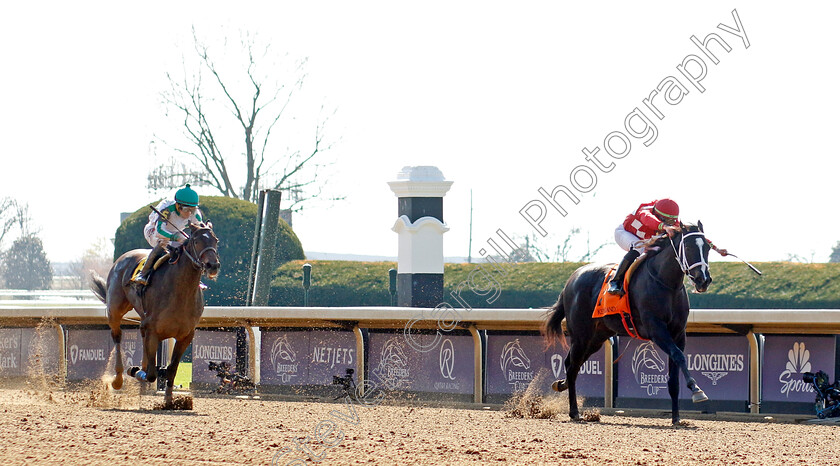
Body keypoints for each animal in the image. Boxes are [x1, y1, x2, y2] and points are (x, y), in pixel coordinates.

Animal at [90, 221, 220, 404]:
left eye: (215, 240)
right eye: (196, 241)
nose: (213, 265)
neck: (180, 292)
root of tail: (122, 258)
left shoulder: (186, 335)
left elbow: (171, 369)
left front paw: (169, 400)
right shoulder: (153, 330)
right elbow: (151, 374)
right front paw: (136, 371)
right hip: (115, 310)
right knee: (117, 337)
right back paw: (118, 379)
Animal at [544, 221, 716, 422]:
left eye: (707, 248)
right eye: (688, 247)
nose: (703, 280)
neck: (666, 284)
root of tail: (571, 280)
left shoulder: (678, 333)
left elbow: (674, 376)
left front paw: (676, 418)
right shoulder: (656, 329)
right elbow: (679, 356)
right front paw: (697, 390)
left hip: (596, 338)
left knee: (571, 364)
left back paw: (561, 385)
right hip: (581, 335)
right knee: (572, 368)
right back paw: (574, 412)